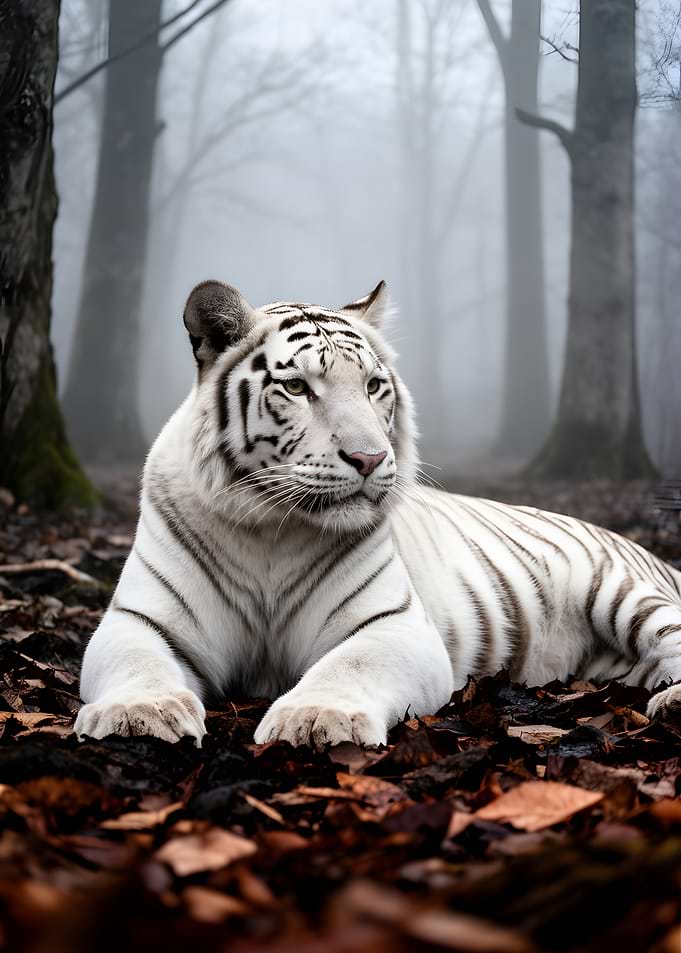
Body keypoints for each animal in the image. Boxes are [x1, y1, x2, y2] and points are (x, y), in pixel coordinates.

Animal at [75, 279, 681, 748]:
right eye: (296, 387)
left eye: (373, 386)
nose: (369, 458)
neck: (272, 527)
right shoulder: (142, 618)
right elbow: (137, 660)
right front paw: (139, 714)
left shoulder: (394, 624)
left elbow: (350, 663)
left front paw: (315, 717)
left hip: (623, 594)